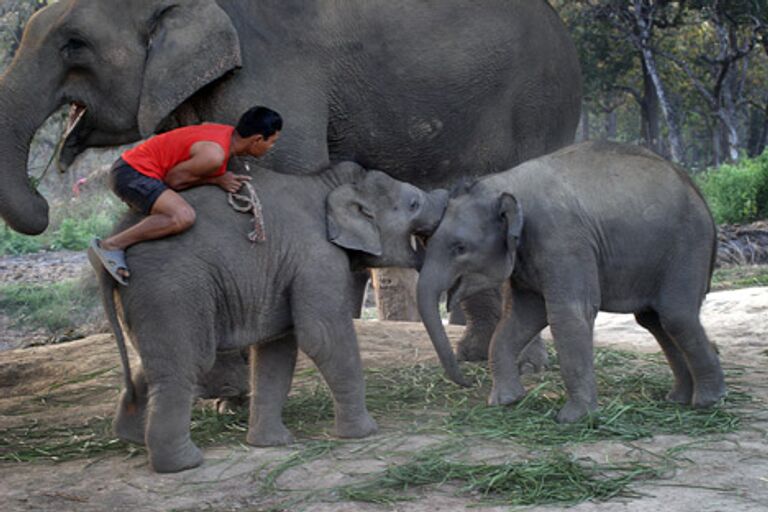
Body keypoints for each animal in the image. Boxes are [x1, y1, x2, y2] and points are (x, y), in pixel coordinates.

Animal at [92, 160, 448, 472]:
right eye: (414, 203)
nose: (446, 197)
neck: (331, 184)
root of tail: (111, 256)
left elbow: (278, 348)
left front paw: (271, 444)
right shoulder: (317, 259)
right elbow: (322, 335)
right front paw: (365, 433)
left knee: (155, 363)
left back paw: (133, 439)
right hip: (172, 292)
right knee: (187, 363)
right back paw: (183, 464)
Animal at [420, 141, 728, 424]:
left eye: (459, 247)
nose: (468, 382)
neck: (505, 183)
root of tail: (699, 194)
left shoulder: (563, 241)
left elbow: (569, 314)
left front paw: (573, 419)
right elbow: (521, 317)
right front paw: (505, 401)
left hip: (688, 247)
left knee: (676, 316)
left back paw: (708, 402)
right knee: (654, 320)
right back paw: (678, 399)